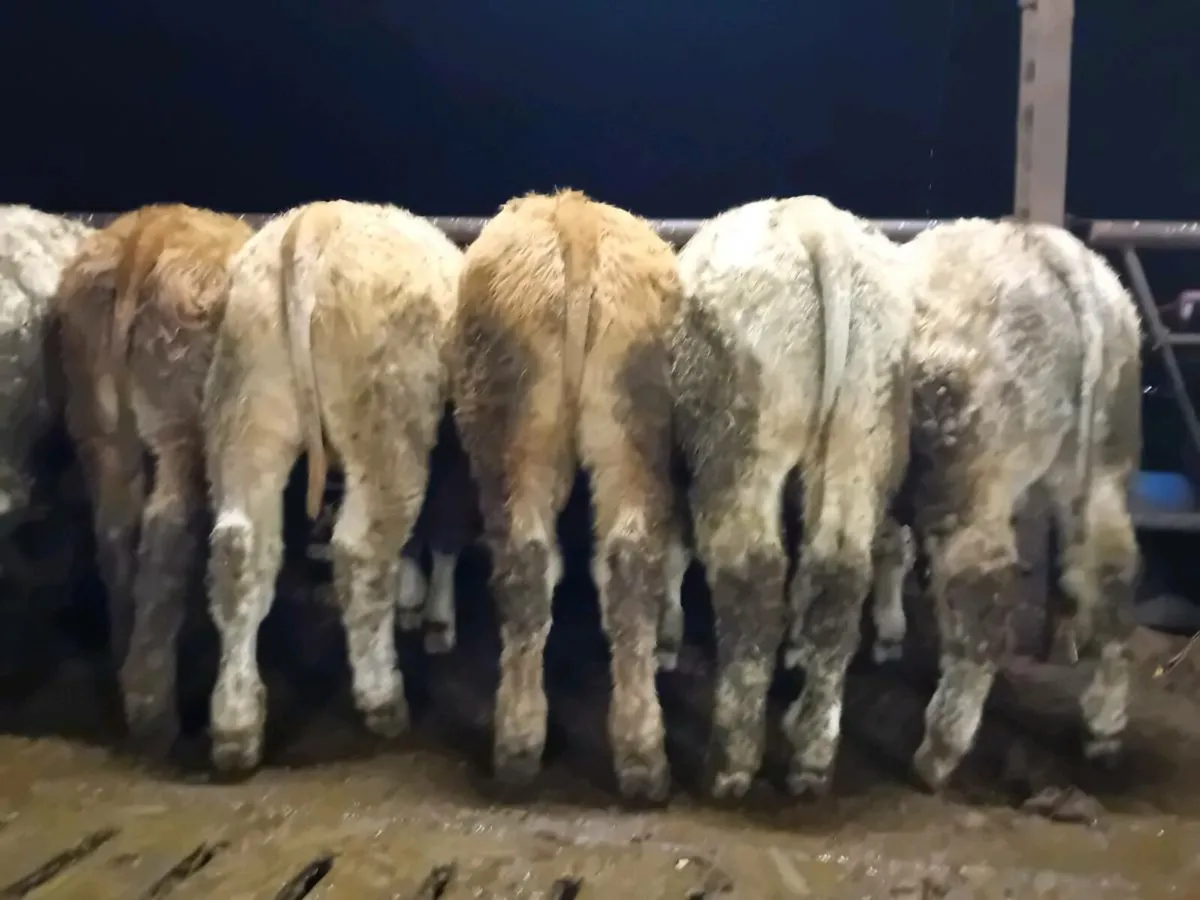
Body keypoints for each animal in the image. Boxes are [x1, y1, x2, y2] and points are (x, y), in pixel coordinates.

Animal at [53, 204, 254, 757]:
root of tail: (150, 231)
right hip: (181, 417)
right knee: (168, 527)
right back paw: (153, 712)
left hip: (97, 418)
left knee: (116, 529)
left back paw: (126, 660)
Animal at [203, 199, 467, 774]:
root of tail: (318, 221)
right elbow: (444, 534)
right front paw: (436, 618)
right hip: (389, 428)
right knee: (363, 551)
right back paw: (382, 696)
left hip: (247, 412)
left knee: (240, 550)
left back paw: (236, 722)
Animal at [447, 189, 683, 804]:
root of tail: (577, 216)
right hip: (632, 429)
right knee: (625, 564)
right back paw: (638, 756)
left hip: (517, 438)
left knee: (527, 564)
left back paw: (521, 746)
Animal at [671, 195, 915, 800]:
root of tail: (814, 221)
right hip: (861, 432)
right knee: (838, 577)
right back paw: (811, 755)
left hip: (742, 445)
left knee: (751, 576)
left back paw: (729, 763)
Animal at [871, 217, 1141, 792]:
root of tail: (1040, 243)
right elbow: (892, 547)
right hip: (1106, 467)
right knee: (1112, 577)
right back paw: (1103, 729)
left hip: (970, 484)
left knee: (980, 601)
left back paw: (938, 751)